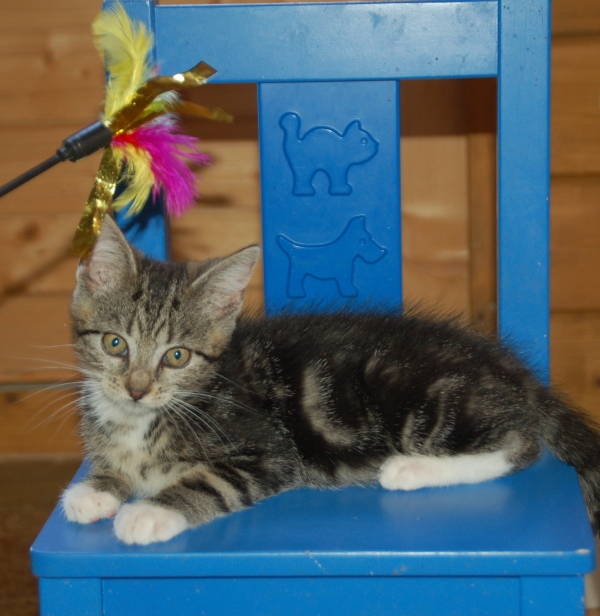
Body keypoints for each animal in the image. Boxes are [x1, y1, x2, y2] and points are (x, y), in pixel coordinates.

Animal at [63, 216, 600, 545]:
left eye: (176, 356)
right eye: (115, 344)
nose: (136, 389)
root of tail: (506, 365)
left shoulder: (269, 451)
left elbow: (210, 480)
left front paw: (149, 510)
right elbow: (115, 465)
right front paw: (96, 488)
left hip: (421, 396)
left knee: (520, 445)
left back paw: (409, 469)